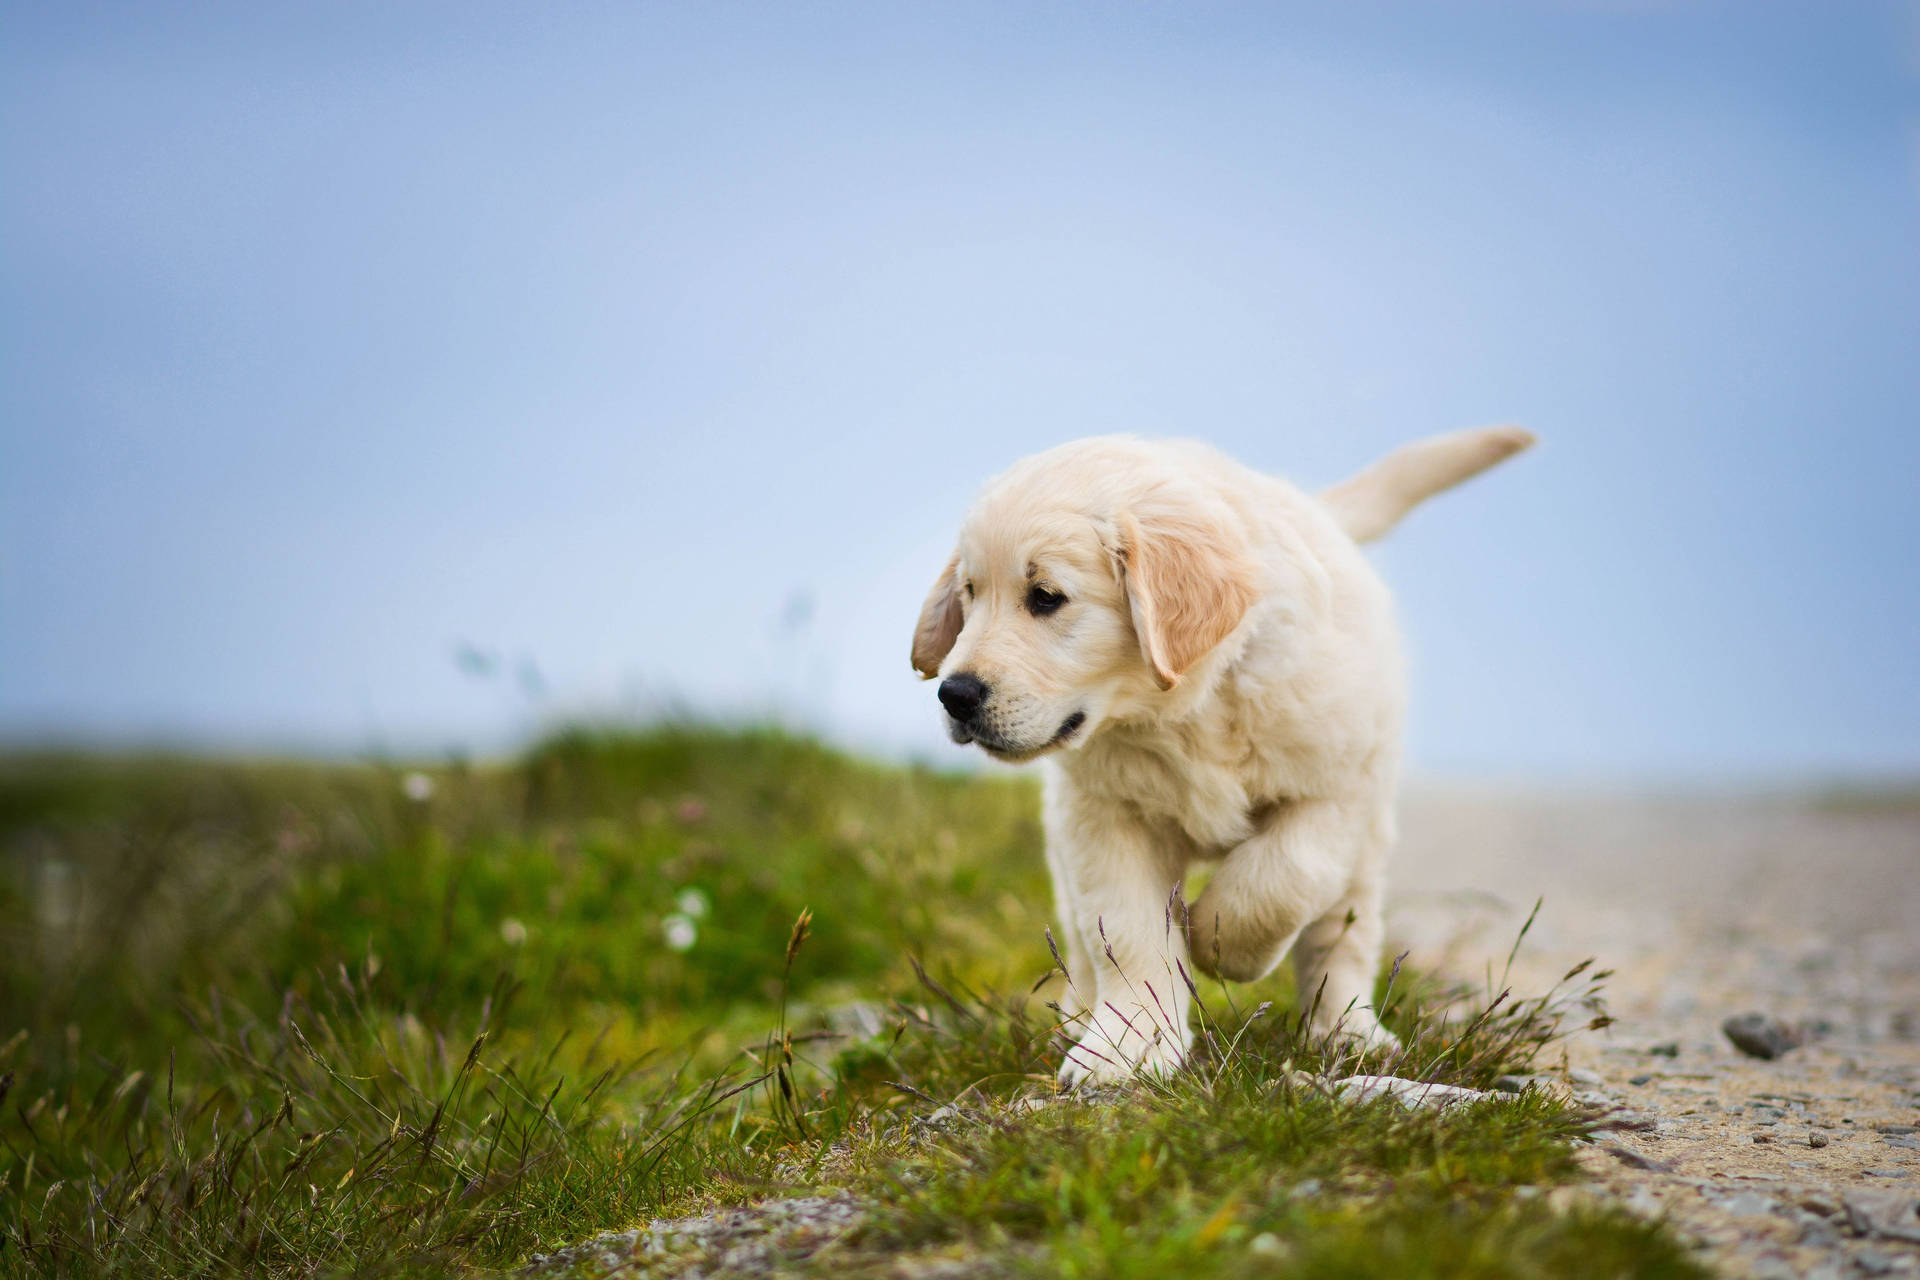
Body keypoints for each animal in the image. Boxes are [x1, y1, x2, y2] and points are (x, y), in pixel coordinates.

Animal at [910, 427, 1528, 1082]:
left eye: (1046, 597)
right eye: (970, 594)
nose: (955, 694)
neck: (1185, 709)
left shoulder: (1337, 789)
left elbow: (1284, 877)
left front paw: (1217, 939)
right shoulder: (1103, 813)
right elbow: (1125, 930)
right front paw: (1130, 1043)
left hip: (1368, 838)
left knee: (1342, 932)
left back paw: (1347, 1030)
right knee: (1080, 937)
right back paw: (1081, 1015)